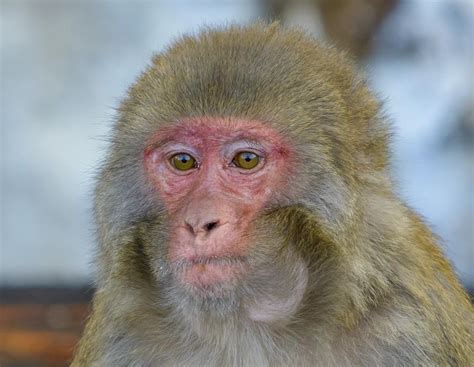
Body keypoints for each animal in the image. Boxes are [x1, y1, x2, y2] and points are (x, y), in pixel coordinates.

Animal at [71, 23, 474, 367]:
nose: (200, 222)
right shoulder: (121, 337)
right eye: (183, 162)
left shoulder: (407, 323)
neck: (244, 331)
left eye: (246, 160)